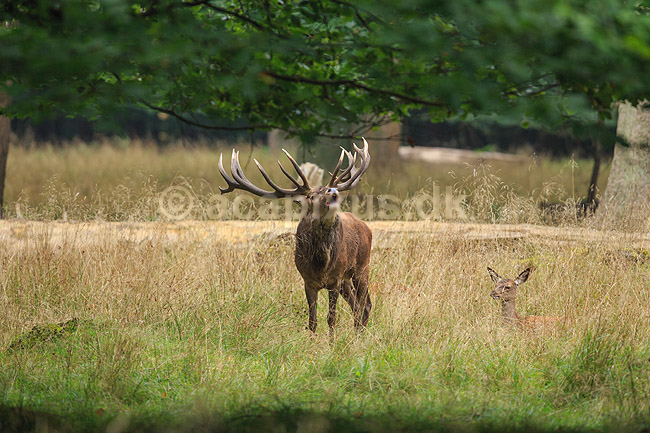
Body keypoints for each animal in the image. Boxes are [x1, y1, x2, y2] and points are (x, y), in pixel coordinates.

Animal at [218, 139, 372, 335]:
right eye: (312, 196)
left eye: (328, 189)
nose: (333, 191)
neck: (321, 264)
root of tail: (366, 226)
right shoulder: (308, 280)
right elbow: (312, 320)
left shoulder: (335, 279)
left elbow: (331, 318)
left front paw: (332, 342)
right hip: (348, 278)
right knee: (357, 305)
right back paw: (357, 334)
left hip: (361, 267)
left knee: (365, 304)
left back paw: (360, 335)